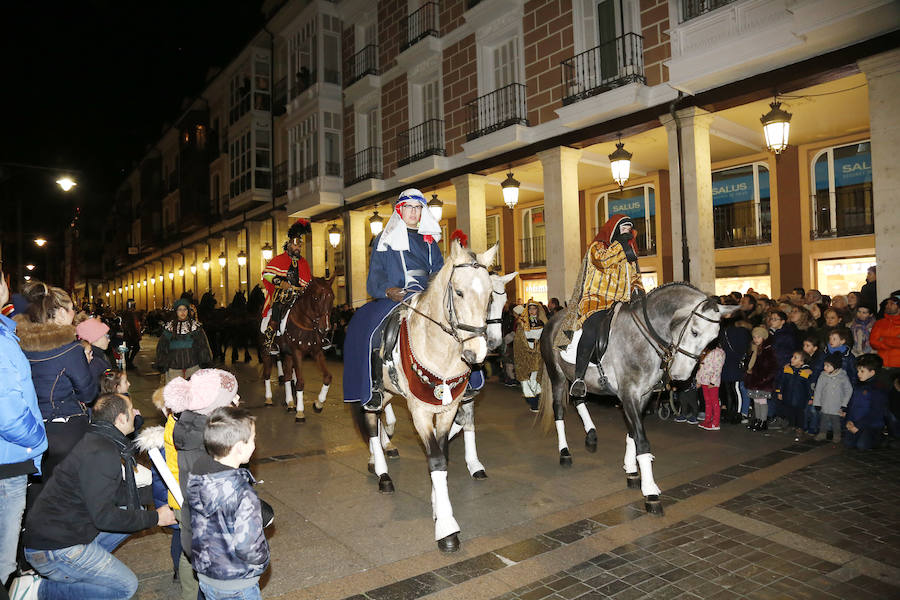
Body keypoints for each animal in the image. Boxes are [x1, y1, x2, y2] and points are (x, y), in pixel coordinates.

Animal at [262, 274, 336, 420]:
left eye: (332, 297)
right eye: (316, 298)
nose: (325, 328)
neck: (306, 323)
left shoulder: (316, 352)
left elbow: (327, 377)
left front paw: (318, 403)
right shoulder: (297, 353)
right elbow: (300, 382)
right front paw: (300, 412)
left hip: (288, 354)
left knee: (287, 376)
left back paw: (290, 402)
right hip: (267, 353)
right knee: (267, 374)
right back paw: (268, 398)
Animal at [356, 239, 496, 552]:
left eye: (490, 295)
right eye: (459, 292)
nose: (477, 353)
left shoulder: (448, 408)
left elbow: (442, 453)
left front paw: (436, 502)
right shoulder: (419, 410)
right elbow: (435, 459)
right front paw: (446, 527)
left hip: (388, 391)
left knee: (381, 418)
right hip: (369, 391)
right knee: (371, 421)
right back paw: (382, 473)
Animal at [536, 284, 736, 512]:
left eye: (713, 340)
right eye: (694, 331)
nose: (681, 375)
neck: (643, 338)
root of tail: (554, 318)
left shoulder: (643, 394)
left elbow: (632, 431)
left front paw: (631, 470)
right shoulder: (628, 393)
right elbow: (641, 438)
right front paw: (650, 491)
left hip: (577, 377)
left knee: (578, 398)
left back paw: (591, 434)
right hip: (557, 375)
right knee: (559, 410)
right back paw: (564, 452)